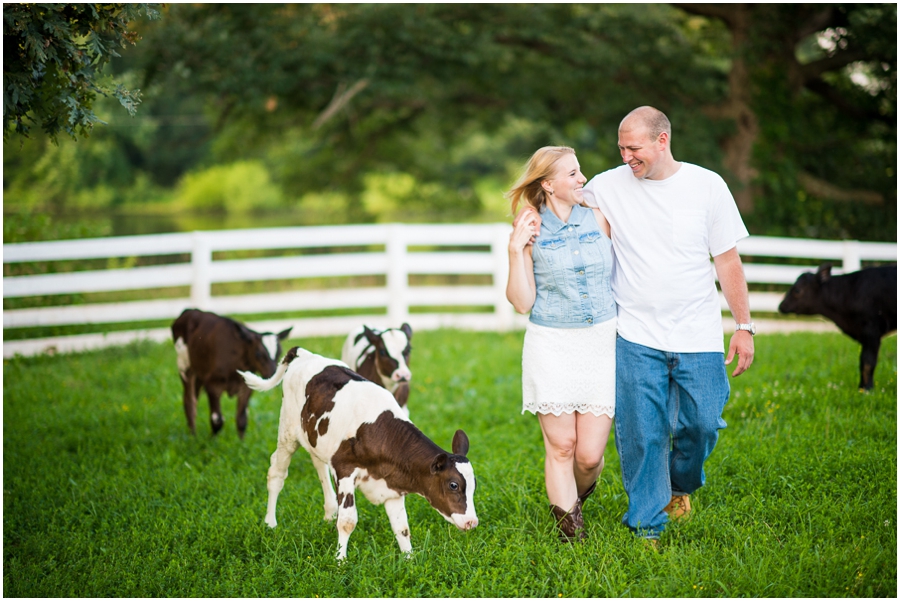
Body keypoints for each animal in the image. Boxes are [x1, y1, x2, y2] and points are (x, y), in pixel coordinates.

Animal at [239, 346, 478, 564]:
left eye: (474, 485)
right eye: (453, 485)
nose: (472, 522)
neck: (380, 433)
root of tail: (304, 353)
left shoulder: (392, 486)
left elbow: (402, 527)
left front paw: (409, 560)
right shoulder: (345, 469)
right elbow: (347, 521)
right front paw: (340, 561)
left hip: (316, 438)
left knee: (319, 465)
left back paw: (328, 513)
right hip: (287, 430)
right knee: (276, 473)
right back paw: (270, 523)